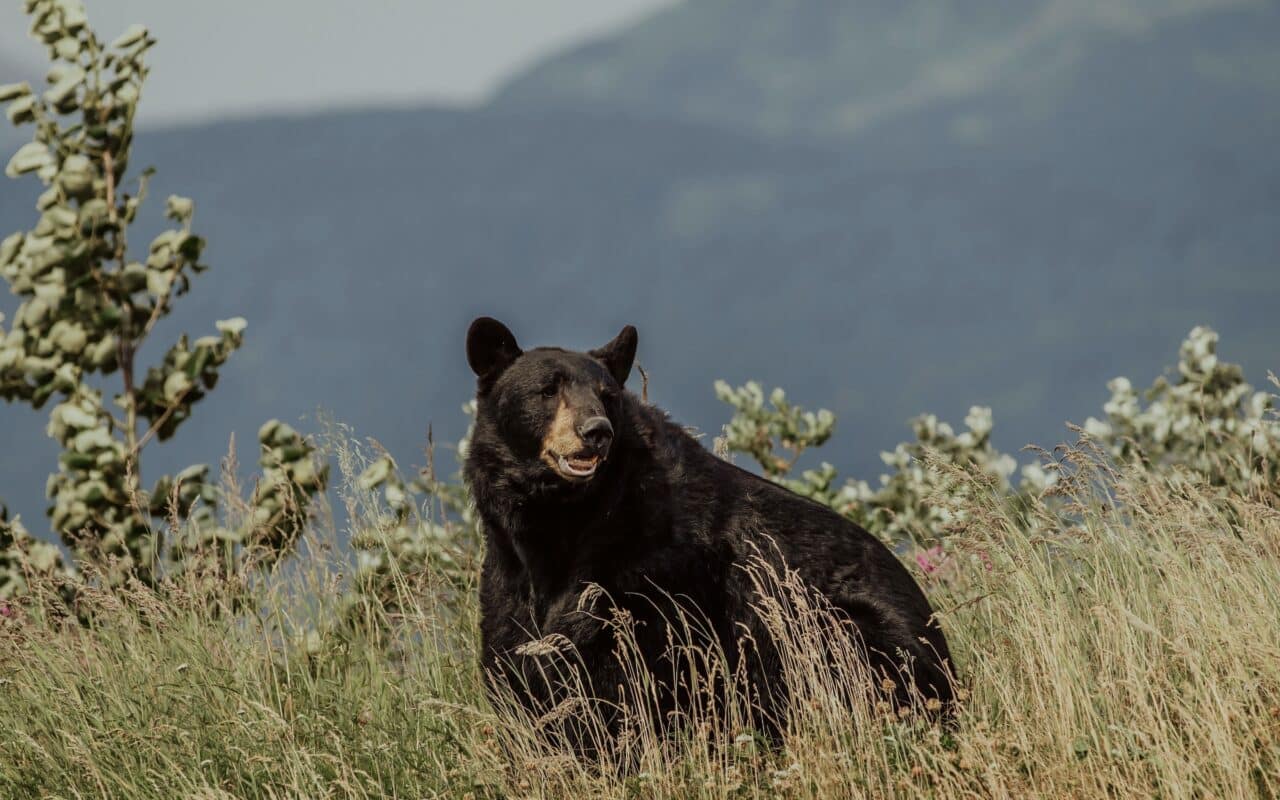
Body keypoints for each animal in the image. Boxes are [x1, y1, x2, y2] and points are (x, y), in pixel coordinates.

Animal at [463, 317, 955, 755]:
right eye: (548, 390)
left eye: (607, 397)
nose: (596, 431)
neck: (562, 521)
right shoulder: (509, 570)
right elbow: (515, 656)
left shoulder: (651, 571)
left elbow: (625, 669)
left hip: (842, 629)